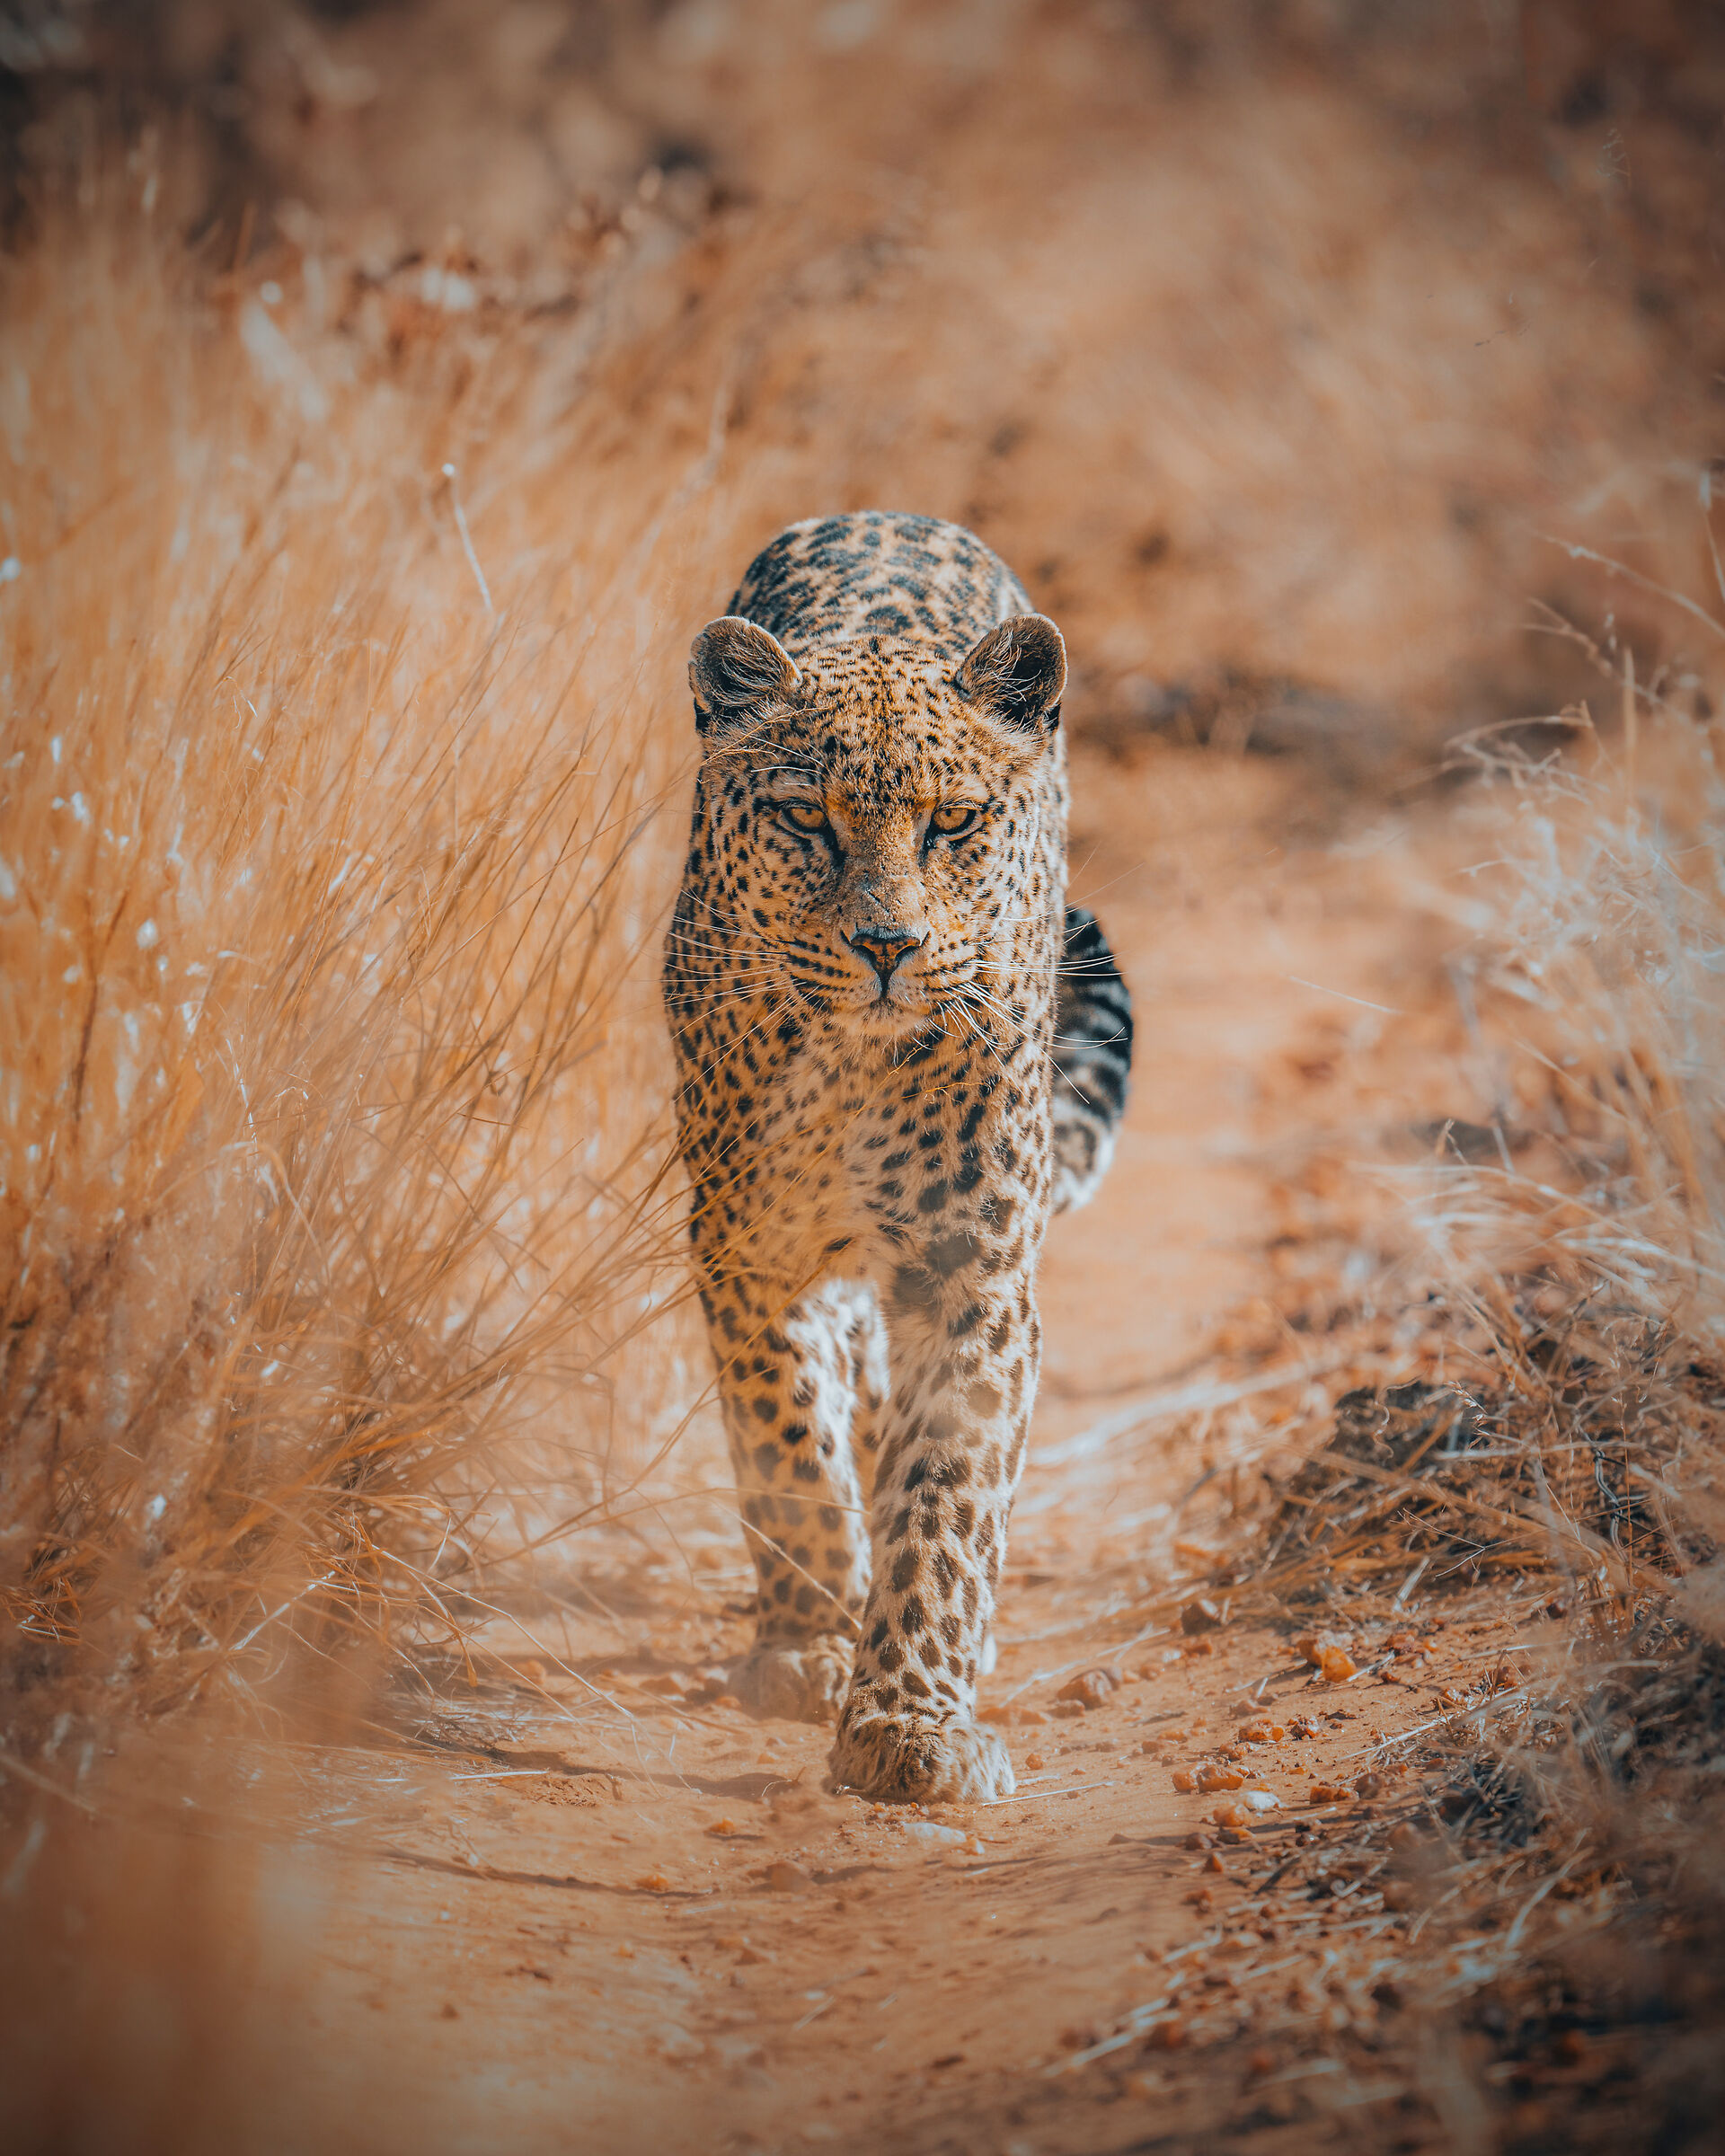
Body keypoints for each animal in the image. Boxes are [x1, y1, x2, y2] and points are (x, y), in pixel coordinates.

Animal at [663, 511, 1133, 1804]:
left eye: (953, 822)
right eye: (805, 818)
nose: (888, 946)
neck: (852, 1070)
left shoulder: (973, 1276)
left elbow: (949, 1495)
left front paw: (911, 1719)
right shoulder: (748, 1252)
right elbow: (785, 1437)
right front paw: (810, 1640)